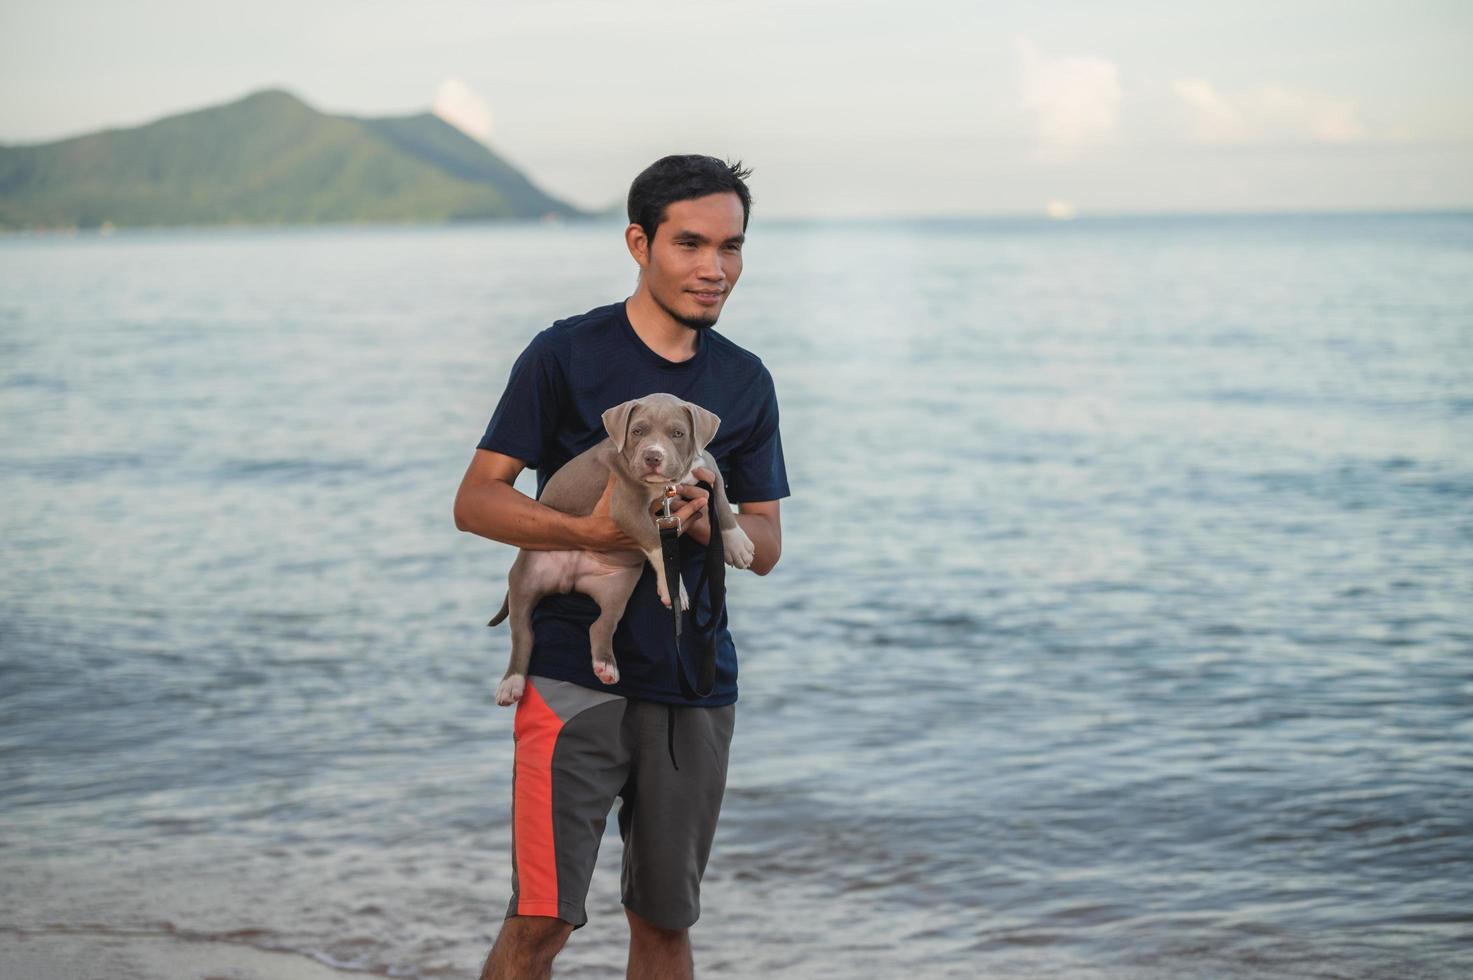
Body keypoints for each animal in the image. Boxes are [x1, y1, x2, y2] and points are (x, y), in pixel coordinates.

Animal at [489, 389, 760, 704]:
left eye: (678, 433)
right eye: (637, 431)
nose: (653, 456)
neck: (668, 485)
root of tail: (570, 578)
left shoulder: (706, 465)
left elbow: (720, 499)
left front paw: (736, 542)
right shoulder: (626, 506)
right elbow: (657, 544)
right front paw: (674, 588)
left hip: (617, 587)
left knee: (601, 624)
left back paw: (605, 665)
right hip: (526, 578)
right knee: (523, 633)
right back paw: (511, 684)